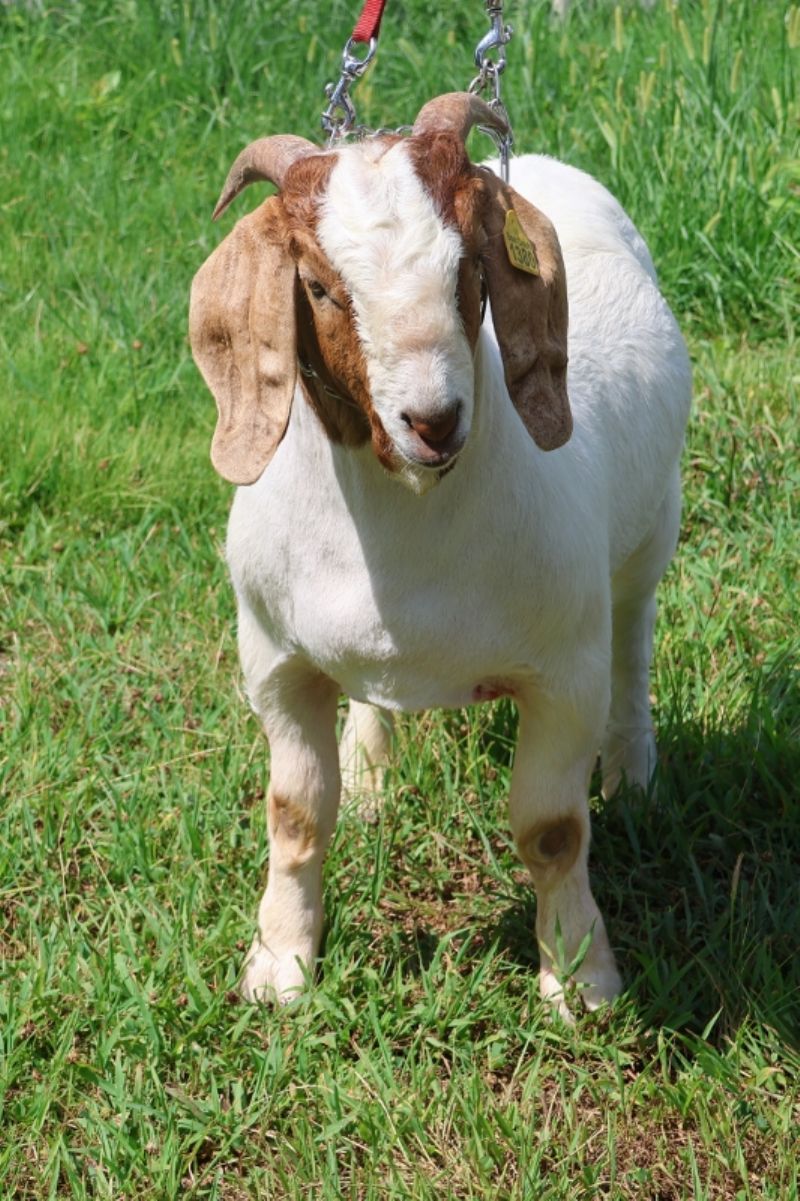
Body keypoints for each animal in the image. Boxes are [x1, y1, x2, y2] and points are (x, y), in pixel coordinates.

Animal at [189, 92, 691, 1018]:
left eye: (467, 272)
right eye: (320, 286)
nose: (434, 420)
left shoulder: (564, 673)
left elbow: (552, 829)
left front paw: (580, 980)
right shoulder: (274, 660)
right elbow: (296, 813)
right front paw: (280, 965)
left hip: (653, 528)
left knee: (635, 634)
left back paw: (632, 769)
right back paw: (371, 766)